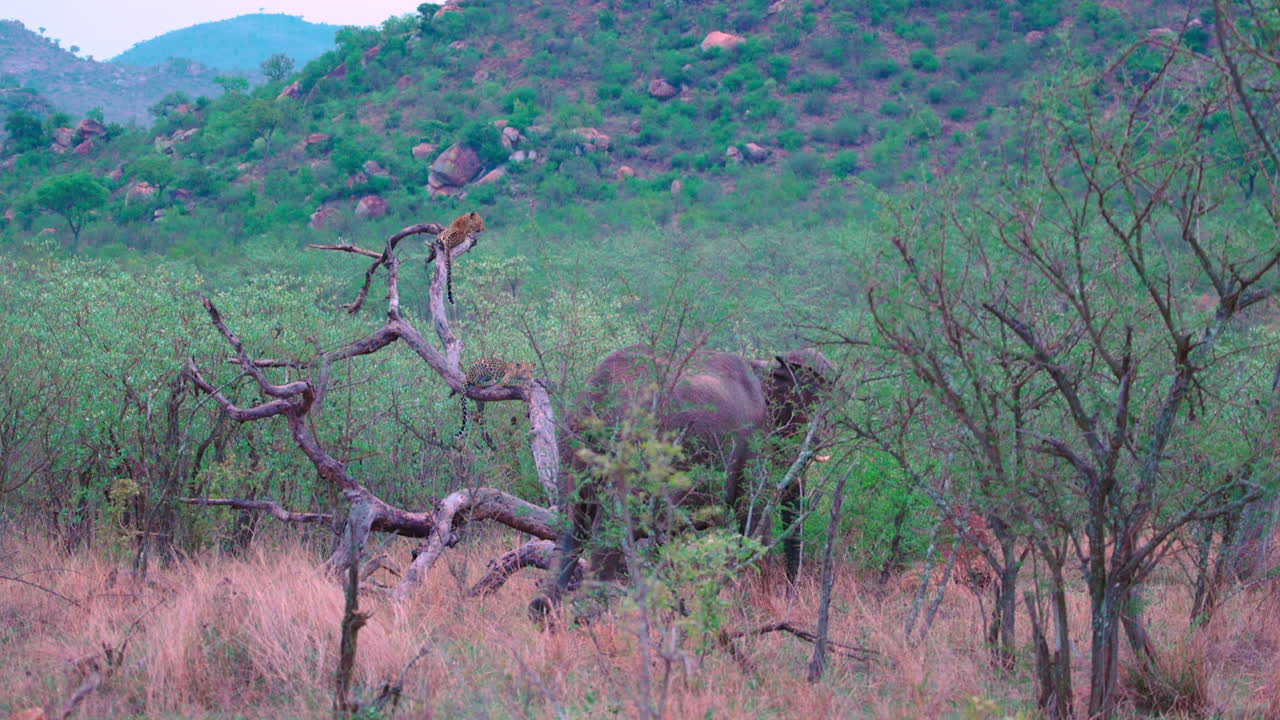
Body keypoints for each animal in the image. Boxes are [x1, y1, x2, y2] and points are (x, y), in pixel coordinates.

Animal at [532, 343, 836, 617]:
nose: (789, 598)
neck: (764, 365)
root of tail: (595, 400)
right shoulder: (753, 439)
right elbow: (753, 512)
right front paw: (752, 611)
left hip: (572, 447)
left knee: (573, 524)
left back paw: (542, 610)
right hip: (631, 451)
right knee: (607, 529)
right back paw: (587, 614)